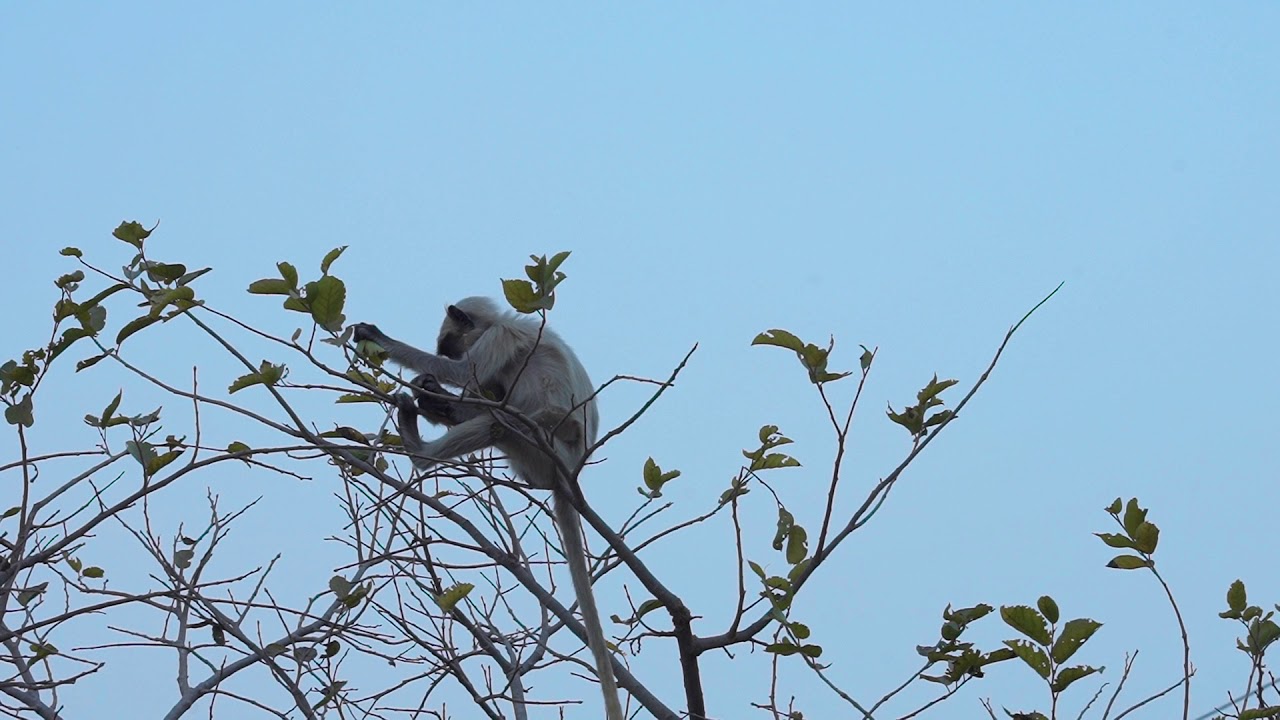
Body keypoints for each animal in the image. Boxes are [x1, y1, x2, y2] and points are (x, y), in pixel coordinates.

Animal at [350, 297, 623, 720]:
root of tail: (568, 473)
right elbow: (477, 385)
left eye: (448, 345)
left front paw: (380, 338)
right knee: (493, 404)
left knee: (500, 420)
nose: (447, 349)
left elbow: (462, 374)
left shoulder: (500, 337)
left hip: (539, 443)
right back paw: (435, 407)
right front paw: (431, 392)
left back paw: (421, 450)